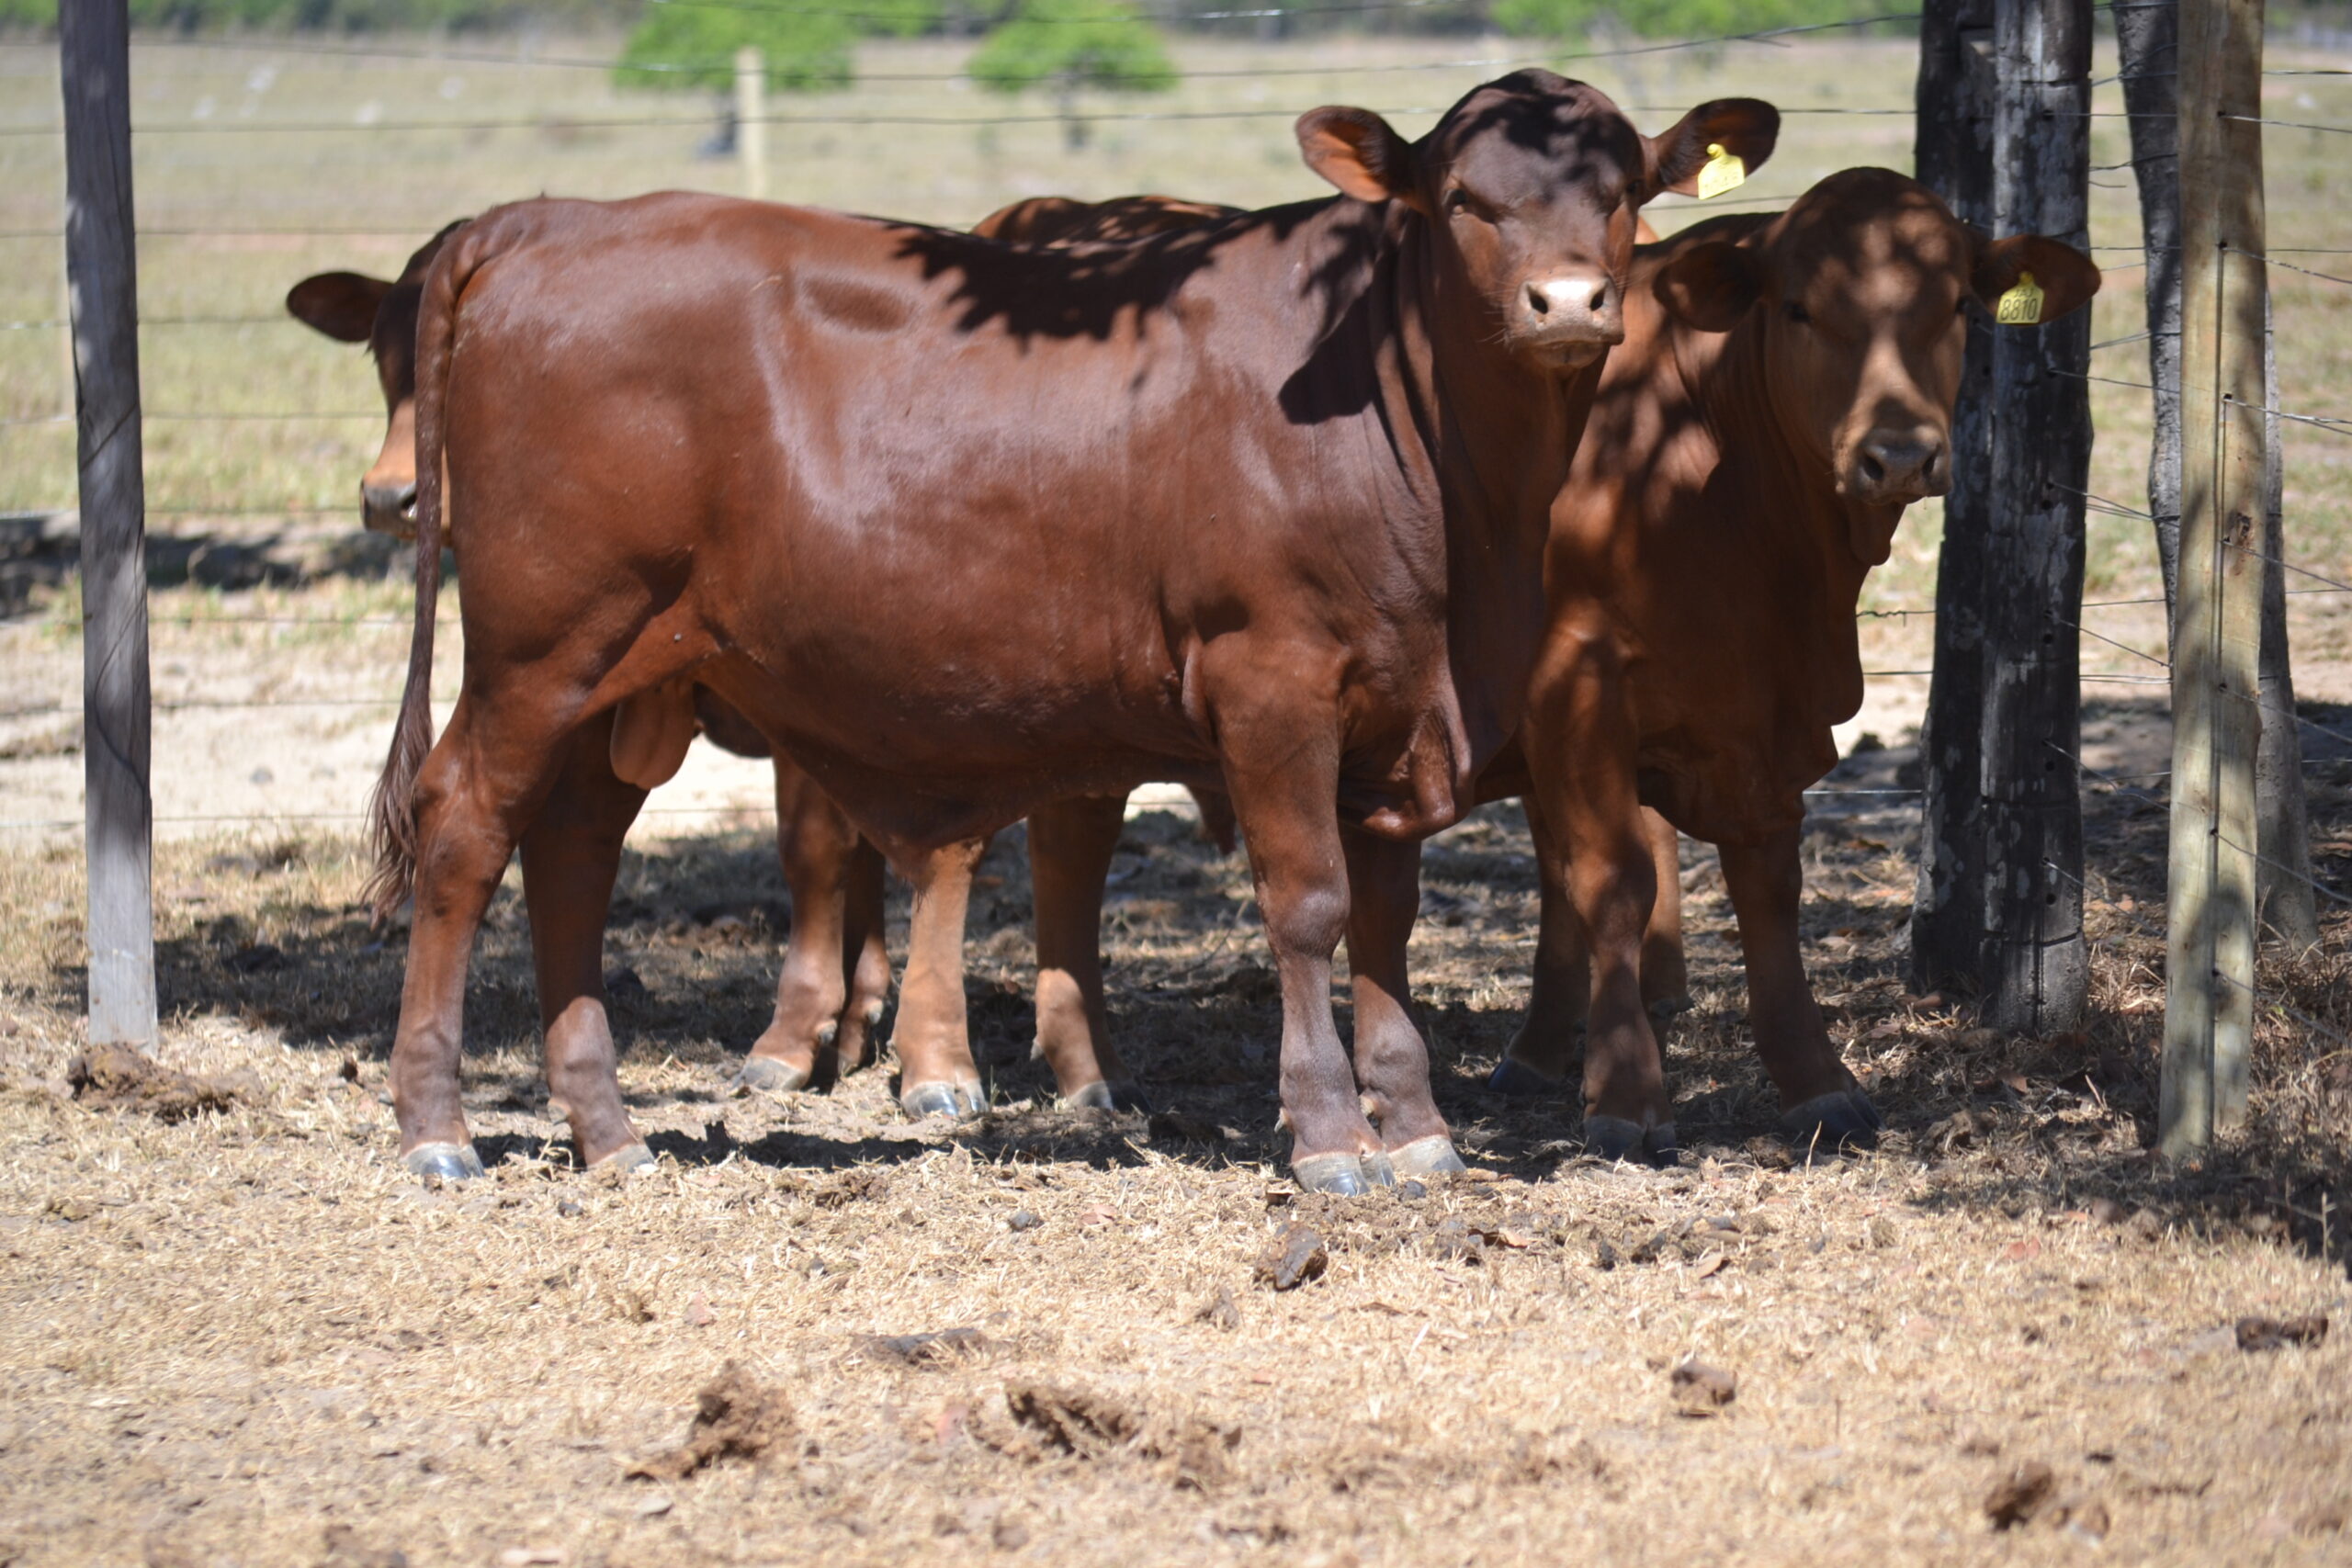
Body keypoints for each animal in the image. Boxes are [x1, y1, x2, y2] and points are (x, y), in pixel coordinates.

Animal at [362, 70, 1769, 1189]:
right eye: (1465, 200)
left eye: (1625, 193)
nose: (1569, 302)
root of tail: (551, 218)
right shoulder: (1271, 679)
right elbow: (1307, 903)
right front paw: (1329, 1134)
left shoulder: (1394, 705)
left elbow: (1384, 917)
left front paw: (1417, 1126)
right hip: (540, 648)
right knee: (466, 827)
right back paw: (436, 1127)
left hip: (625, 677)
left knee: (571, 852)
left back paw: (606, 1132)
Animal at [1476, 165, 2107, 1161]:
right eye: (1801, 308)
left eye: (1957, 304)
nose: (1899, 454)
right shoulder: (1571, 682)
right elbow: (1613, 876)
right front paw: (1626, 1092)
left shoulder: (1763, 707)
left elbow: (1768, 887)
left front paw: (1815, 1079)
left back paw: (1543, 1044)